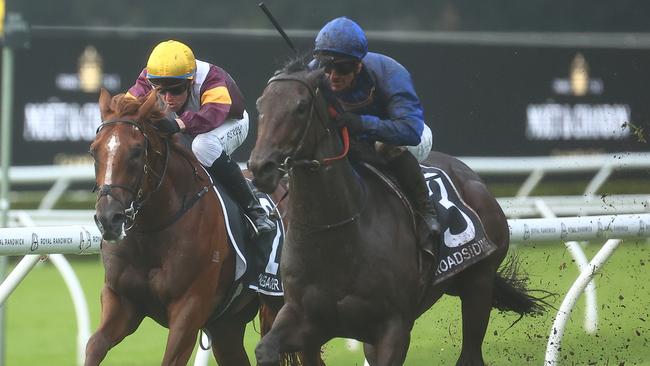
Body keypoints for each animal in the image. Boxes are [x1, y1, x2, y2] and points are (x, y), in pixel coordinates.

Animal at [85, 89, 288, 366]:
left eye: (137, 151)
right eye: (94, 151)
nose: (109, 219)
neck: (152, 231)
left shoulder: (189, 307)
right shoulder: (121, 300)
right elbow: (94, 345)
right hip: (227, 326)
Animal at [248, 66, 548, 366]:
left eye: (300, 107)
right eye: (260, 105)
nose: (261, 166)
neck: (337, 233)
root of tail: (474, 179)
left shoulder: (394, 328)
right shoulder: (305, 320)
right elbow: (265, 349)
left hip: (479, 285)